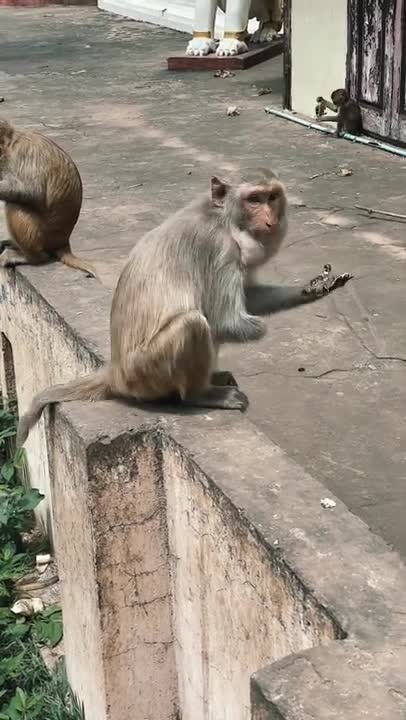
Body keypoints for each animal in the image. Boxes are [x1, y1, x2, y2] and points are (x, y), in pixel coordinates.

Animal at [0, 118, 96, 277]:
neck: (10, 145)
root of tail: (63, 240)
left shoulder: (23, 154)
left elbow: (31, 192)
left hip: (44, 235)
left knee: (15, 204)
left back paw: (32, 257)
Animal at [16, 169, 352, 446]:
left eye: (272, 197)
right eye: (254, 199)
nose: (270, 220)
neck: (220, 217)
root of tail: (115, 372)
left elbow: (249, 297)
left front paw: (313, 288)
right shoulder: (221, 249)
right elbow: (225, 321)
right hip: (146, 373)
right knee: (193, 324)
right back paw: (199, 394)